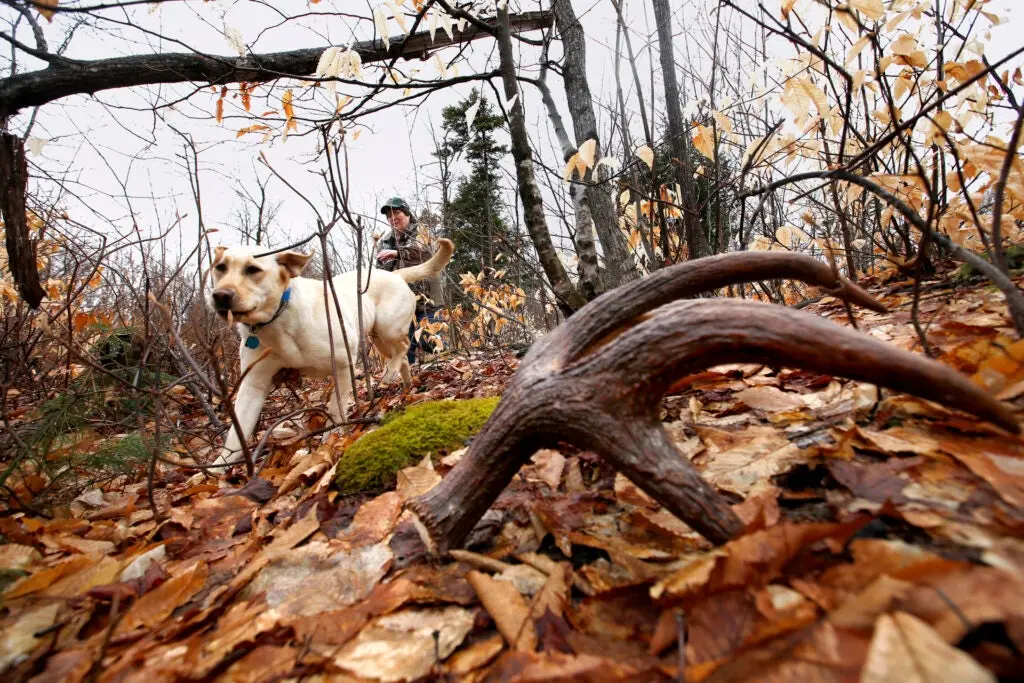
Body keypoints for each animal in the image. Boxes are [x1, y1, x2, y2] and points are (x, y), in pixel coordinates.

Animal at [207, 237, 452, 466]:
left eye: (253, 269)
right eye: (220, 267)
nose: (220, 295)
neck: (276, 319)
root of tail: (396, 274)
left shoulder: (343, 364)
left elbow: (336, 408)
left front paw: (331, 438)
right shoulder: (253, 385)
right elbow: (236, 436)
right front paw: (220, 466)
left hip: (387, 328)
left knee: (403, 347)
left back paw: (389, 374)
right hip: (378, 338)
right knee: (401, 358)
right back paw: (406, 384)